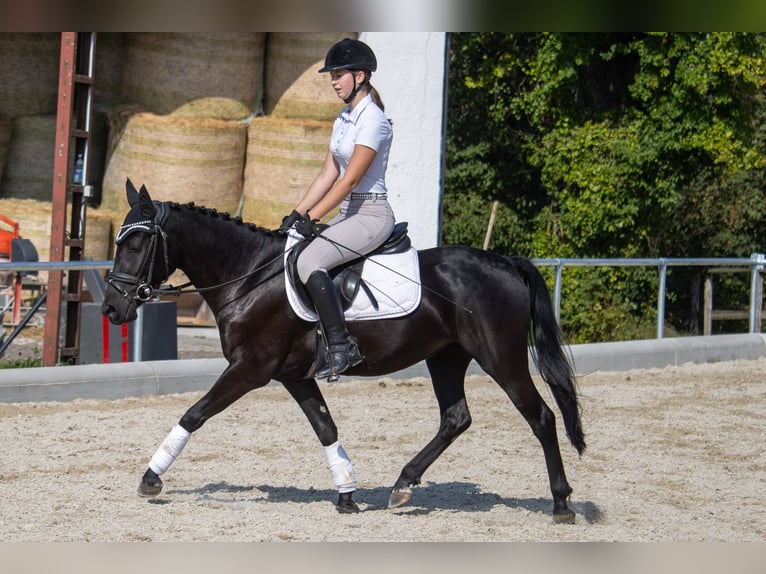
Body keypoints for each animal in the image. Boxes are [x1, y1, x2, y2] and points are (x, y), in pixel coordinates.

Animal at [102, 181, 588, 528]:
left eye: (135, 244)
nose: (111, 309)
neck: (249, 276)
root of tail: (505, 262)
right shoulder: (294, 376)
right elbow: (325, 427)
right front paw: (347, 494)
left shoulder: (251, 368)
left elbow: (194, 414)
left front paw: (151, 478)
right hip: (446, 357)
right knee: (456, 418)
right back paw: (403, 484)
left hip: (500, 358)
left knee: (541, 416)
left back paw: (562, 502)